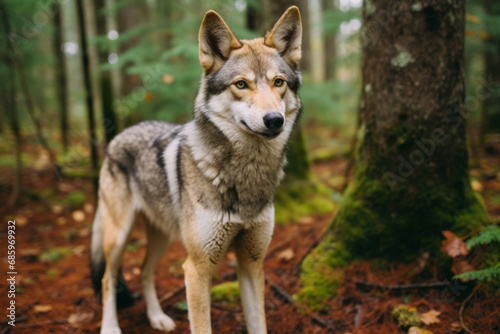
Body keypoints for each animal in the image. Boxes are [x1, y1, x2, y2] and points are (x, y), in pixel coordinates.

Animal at [91, 5, 304, 334]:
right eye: (241, 84)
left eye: (278, 82)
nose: (274, 120)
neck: (246, 175)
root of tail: (120, 134)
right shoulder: (197, 268)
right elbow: (201, 324)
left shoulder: (252, 263)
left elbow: (258, 323)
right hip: (118, 237)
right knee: (107, 278)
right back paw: (111, 327)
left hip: (162, 237)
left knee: (144, 270)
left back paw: (157, 318)